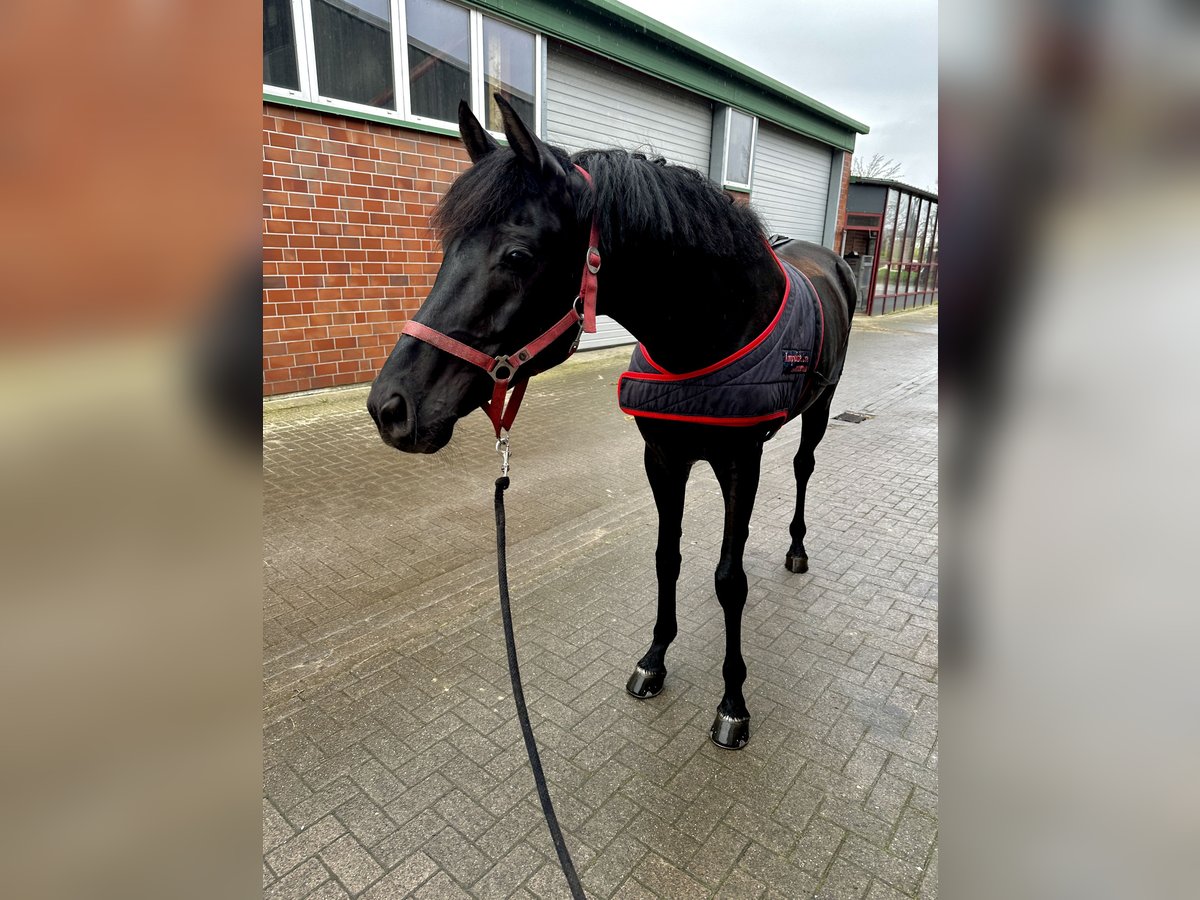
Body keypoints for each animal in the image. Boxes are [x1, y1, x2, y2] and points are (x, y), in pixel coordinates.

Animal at [364, 95, 854, 748]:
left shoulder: (738, 464)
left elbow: (730, 580)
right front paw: (654, 660)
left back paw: (797, 549)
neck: (707, 332)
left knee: (803, 468)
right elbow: (667, 557)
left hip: (821, 408)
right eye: (448, 251)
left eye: (517, 255)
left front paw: (733, 703)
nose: (390, 407)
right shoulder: (663, 459)